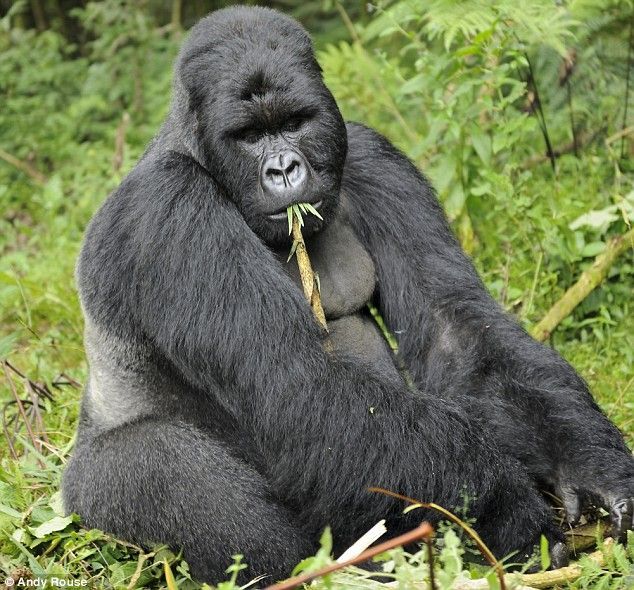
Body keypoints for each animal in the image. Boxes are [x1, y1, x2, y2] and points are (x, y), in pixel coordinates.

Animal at [61, 4, 628, 588]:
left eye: (294, 122)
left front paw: (590, 464)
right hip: (91, 497)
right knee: (176, 474)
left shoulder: (375, 160)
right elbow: (299, 391)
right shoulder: (167, 208)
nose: (283, 169)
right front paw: (508, 508)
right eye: (249, 134)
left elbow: (458, 335)